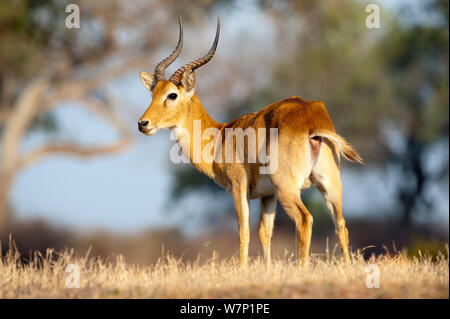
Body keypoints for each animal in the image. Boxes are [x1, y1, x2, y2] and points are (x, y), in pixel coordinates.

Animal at [137, 17, 362, 268]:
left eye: (172, 95)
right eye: (153, 93)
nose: (143, 123)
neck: (220, 136)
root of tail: (311, 118)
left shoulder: (239, 187)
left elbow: (243, 231)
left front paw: (243, 269)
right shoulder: (267, 195)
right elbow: (265, 232)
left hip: (288, 188)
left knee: (305, 220)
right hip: (329, 184)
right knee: (341, 224)